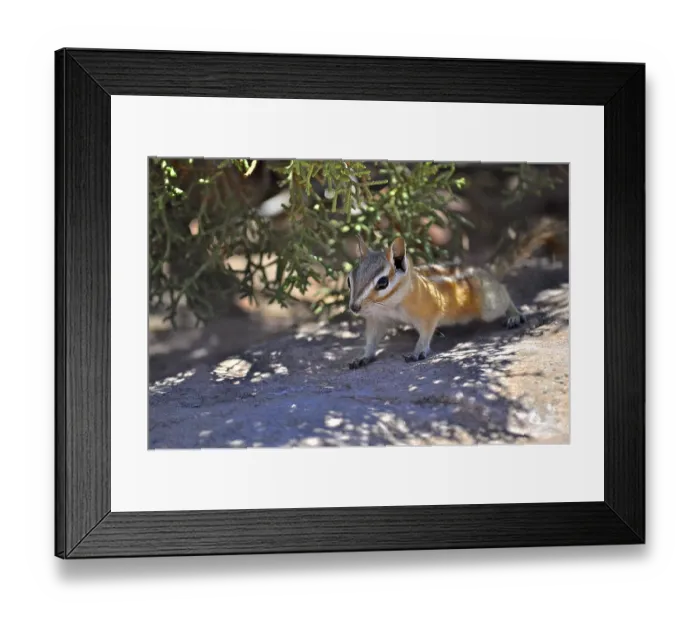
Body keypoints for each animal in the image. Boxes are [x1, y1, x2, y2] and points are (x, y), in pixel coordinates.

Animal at [346, 235, 528, 370]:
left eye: (383, 282)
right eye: (349, 280)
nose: (354, 307)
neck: (389, 305)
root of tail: (484, 270)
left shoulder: (429, 313)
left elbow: (426, 334)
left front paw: (418, 352)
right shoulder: (377, 318)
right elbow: (371, 339)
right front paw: (363, 356)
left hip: (489, 306)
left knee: (503, 293)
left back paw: (514, 316)